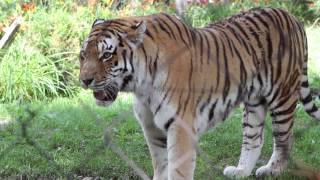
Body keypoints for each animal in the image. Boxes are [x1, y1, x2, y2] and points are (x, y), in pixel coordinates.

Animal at [79, 6, 320, 179]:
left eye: (106, 55)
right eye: (83, 55)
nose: (84, 80)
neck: (141, 85)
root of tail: (290, 15)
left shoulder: (180, 125)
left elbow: (178, 169)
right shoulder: (151, 128)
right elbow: (160, 165)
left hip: (282, 95)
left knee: (285, 138)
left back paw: (274, 170)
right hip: (254, 101)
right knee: (254, 138)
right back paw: (241, 172)